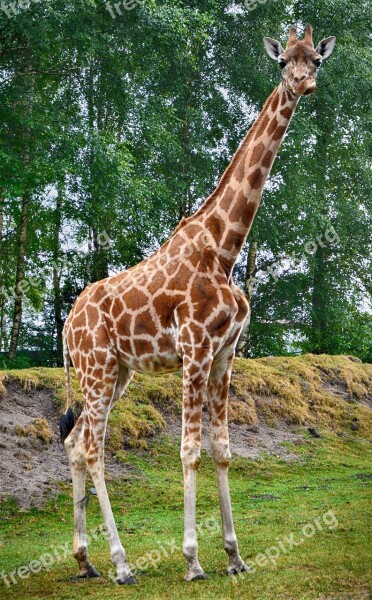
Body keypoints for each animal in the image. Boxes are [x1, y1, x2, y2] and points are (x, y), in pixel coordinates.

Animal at [59, 25, 336, 584]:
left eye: (315, 59)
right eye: (283, 62)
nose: (304, 83)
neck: (224, 250)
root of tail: (66, 325)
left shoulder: (226, 354)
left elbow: (224, 451)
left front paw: (234, 555)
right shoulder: (194, 350)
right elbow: (189, 452)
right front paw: (192, 559)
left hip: (118, 371)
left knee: (76, 443)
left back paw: (86, 561)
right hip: (97, 368)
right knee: (93, 448)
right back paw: (121, 564)